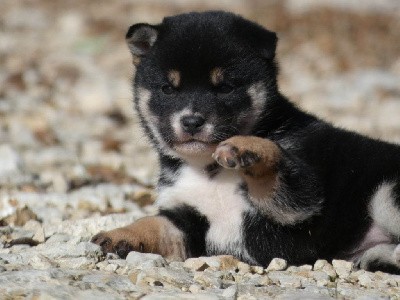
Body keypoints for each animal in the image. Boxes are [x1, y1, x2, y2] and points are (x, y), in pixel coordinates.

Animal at [92, 10, 400, 274]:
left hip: (385, 195)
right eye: (168, 89)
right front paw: (120, 234)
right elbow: (153, 223)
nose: (191, 121)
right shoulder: (188, 220)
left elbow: (277, 163)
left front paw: (247, 147)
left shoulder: (302, 201)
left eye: (225, 87)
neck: (210, 172)